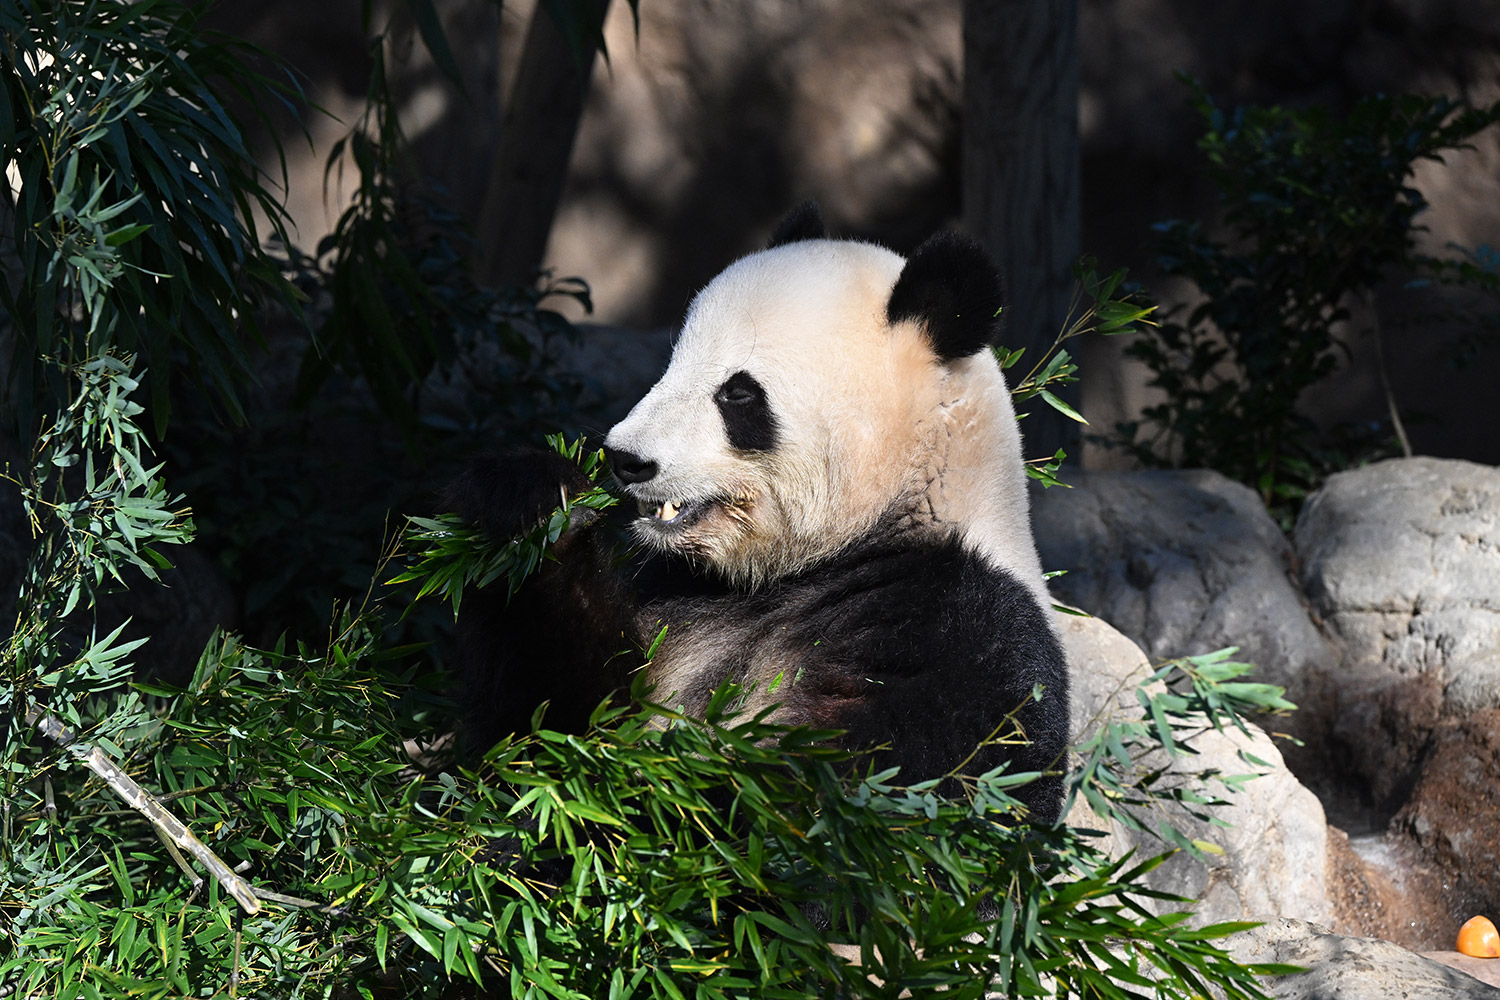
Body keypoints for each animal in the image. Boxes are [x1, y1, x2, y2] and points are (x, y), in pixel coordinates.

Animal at [444, 203, 1068, 821]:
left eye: (737, 394)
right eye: (672, 363)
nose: (626, 459)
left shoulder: (963, 639)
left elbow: (843, 799)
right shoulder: (671, 589)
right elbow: (552, 722)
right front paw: (534, 500)